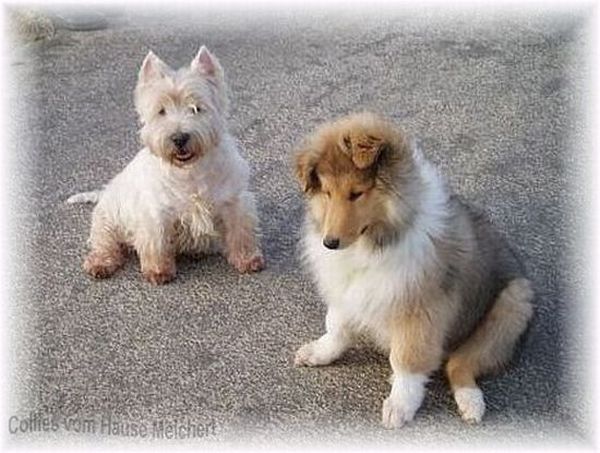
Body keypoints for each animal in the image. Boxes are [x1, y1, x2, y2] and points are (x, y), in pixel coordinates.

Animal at [68, 47, 264, 284]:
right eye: (161, 111)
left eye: (196, 108)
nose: (179, 138)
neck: (190, 171)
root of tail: (103, 192)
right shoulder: (156, 213)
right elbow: (157, 242)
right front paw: (159, 271)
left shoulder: (234, 202)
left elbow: (241, 232)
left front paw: (248, 260)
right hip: (106, 219)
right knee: (105, 243)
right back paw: (100, 264)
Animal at [293, 112, 533, 428]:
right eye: (328, 193)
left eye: (357, 194)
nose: (330, 243)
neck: (375, 241)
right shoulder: (350, 289)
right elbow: (336, 326)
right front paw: (319, 352)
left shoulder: (420, 309)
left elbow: (407, 359)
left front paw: (399, 406)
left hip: (512, 305)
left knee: (460, 364)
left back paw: (471, 403)